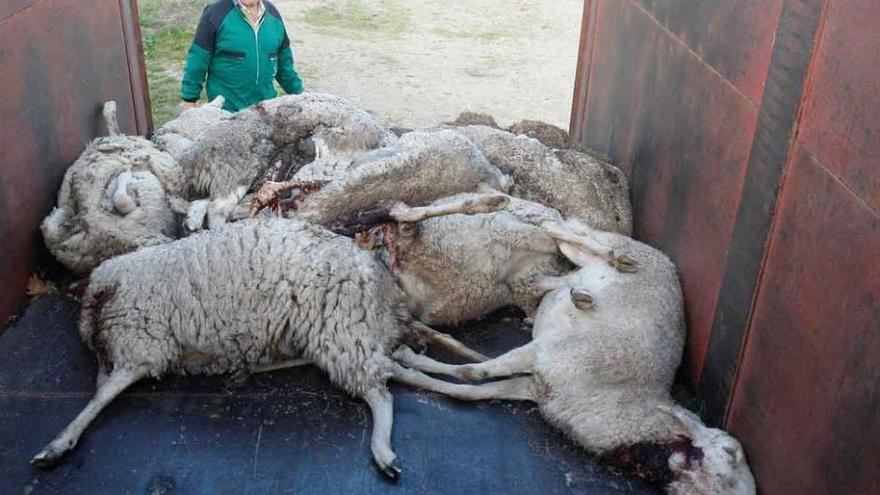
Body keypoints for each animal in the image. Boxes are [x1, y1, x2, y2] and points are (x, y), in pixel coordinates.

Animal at [392, 223, 756, 494]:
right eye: (729, 453)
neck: (623, 402)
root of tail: (661, 256)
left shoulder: (538, 389)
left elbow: (468, 391)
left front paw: (409, 371)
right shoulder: (545, 351)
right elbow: (471, 372)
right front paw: (406, 358)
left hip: (578, 266)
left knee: (567, 258)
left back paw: (572, 285)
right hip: (600, 253)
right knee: (582, 238)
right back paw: (568, 238)